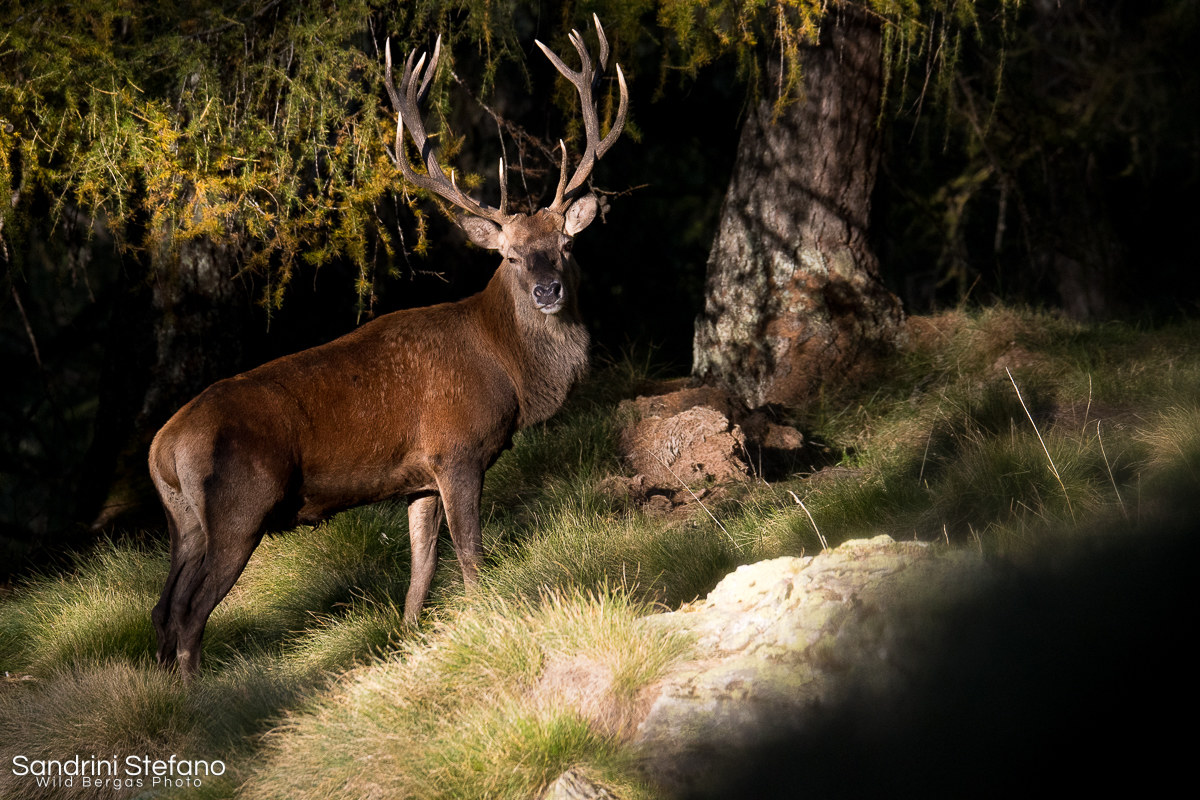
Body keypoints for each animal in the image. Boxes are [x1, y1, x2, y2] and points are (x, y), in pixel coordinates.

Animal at [149, 15, 627, 678]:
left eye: (566, 245)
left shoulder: (418, 479)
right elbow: (472, 557)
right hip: (238, 509)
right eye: (508, 256)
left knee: (162, 609)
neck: (509, 371)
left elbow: (421, 572)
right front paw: (489, 622)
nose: (548, 289)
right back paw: (198, 695)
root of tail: (162, 447)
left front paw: (408, 642)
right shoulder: (458, 449)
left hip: (182, 523)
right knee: (191, 612)